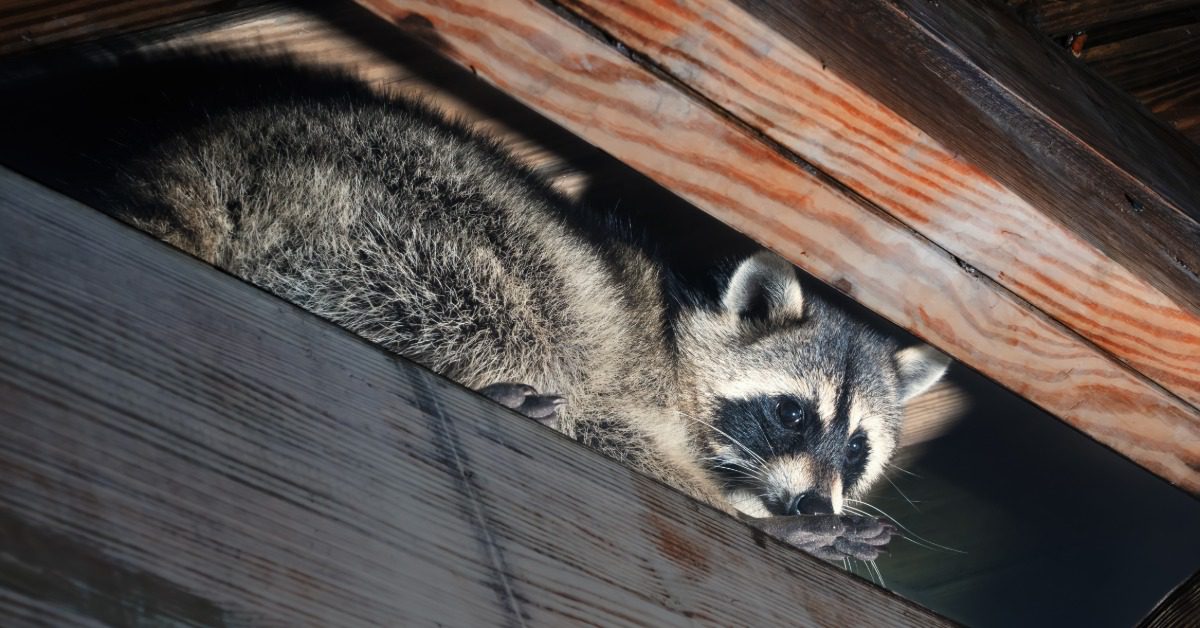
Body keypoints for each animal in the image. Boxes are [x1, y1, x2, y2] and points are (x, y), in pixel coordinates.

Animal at [0, 54, 948, 561]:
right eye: (791, 414)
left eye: (856, 448)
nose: (815, 507)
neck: (678, 339)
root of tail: (209, 151)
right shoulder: (627, 378)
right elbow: (612, 428)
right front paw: (747, 514)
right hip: (398, 219)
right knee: (510, 308)